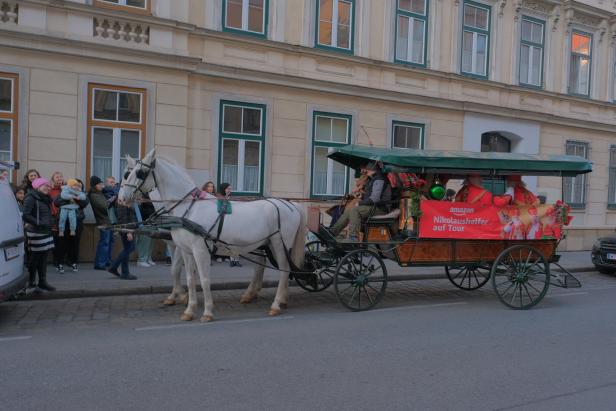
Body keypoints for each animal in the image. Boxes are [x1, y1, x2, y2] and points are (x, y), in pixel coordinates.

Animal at [118, 150, 306, 324]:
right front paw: (189, 309)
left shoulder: (200, 250)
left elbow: (204, 279)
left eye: (138, 172)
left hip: (279, 244)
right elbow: (189, 278)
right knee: (266, 267)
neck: (189, 207)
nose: (121, 199)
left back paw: (276, 304)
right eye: (128, 172)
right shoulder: (186, 250)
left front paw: (207, 311)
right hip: (265, 244)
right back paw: (271, 298)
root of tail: (291, 204)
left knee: (284, 270)